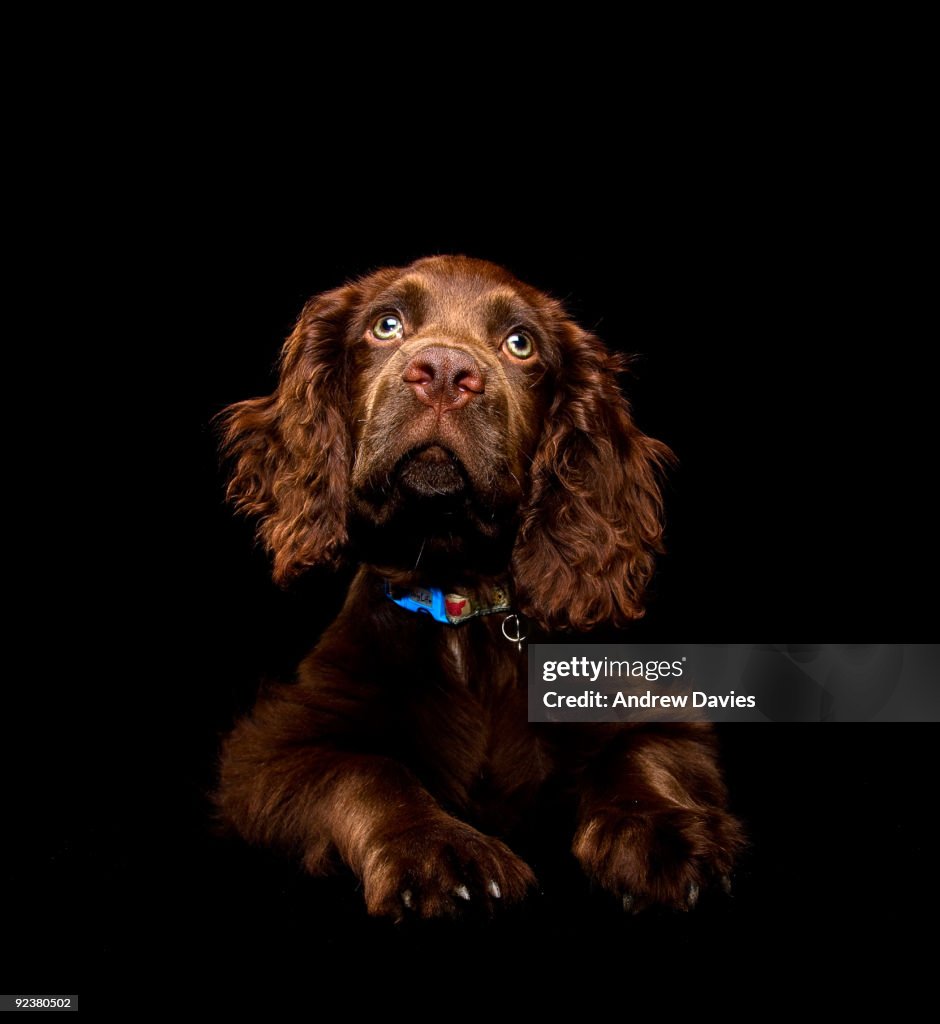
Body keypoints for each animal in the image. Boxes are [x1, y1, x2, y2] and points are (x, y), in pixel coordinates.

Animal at [217, 256, 745, 921]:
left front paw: (663, 835)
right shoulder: (270, 752)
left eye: (520, 343)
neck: (460, 597)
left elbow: (638, 757)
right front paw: (439, 850)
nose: (445, 374)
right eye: (386, 325)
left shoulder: (657, 716)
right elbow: (368, 772)